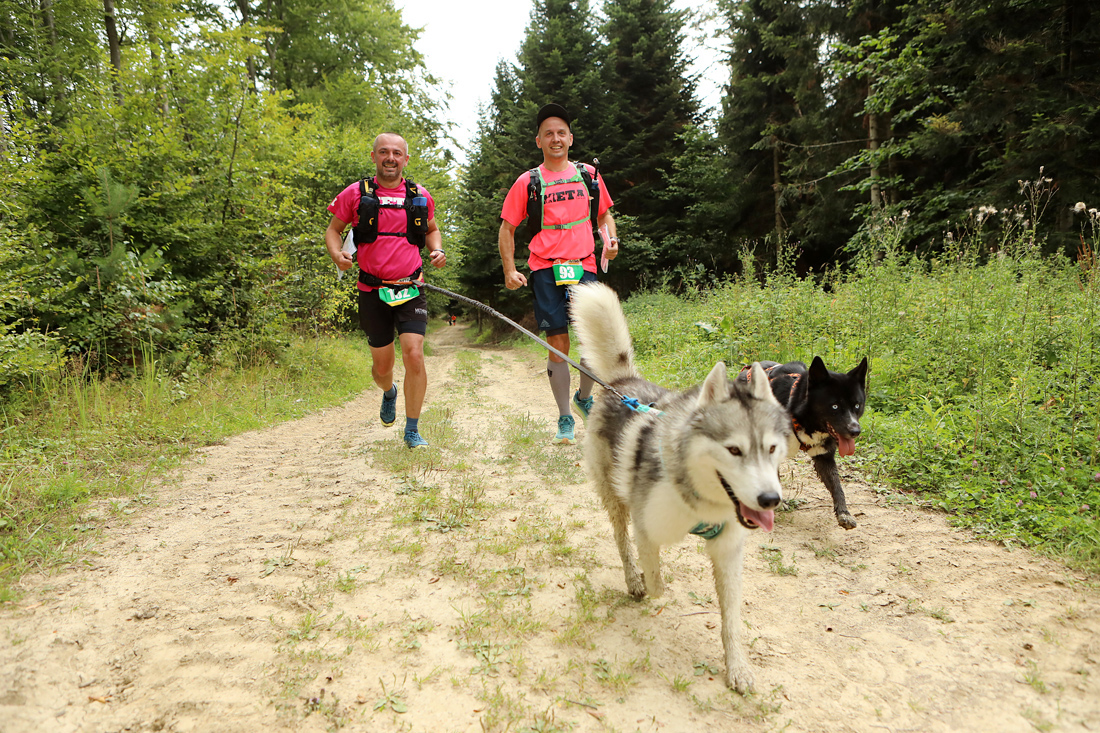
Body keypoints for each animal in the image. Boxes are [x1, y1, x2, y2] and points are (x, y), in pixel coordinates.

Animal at [570, 282, 793, 693]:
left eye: (771, 448)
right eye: (734, 450)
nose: (770, 500)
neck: (701, 500)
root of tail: (623, 381)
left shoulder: (728, 550)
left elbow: (732, 618)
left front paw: (737, 667)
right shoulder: (647, 530)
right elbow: (657, 581)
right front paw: (648, 582)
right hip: (614, 497)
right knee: (621, 541)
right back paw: (633, 579)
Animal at [737, 357, 868, 529]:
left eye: (857, 405)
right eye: (835, 406)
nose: (855, 431)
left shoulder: (824, 457)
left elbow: (837, 485)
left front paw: (844, 514)